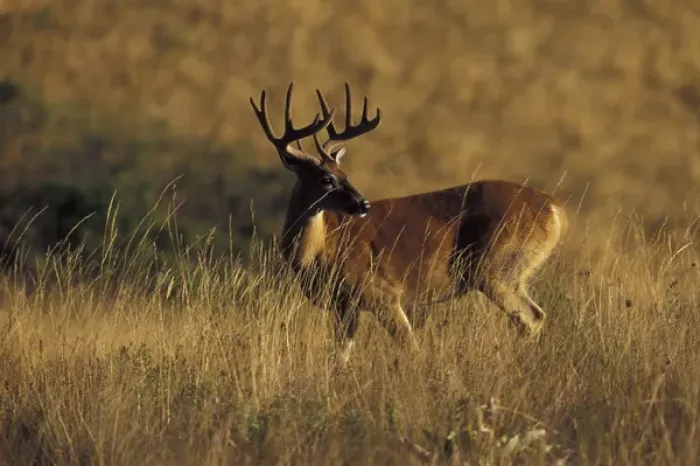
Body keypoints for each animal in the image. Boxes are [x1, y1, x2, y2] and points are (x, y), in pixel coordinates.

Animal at [249, 82, 568, 365]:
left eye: (345, 174)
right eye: (327, 179)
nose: (363, 204)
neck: (319, 251)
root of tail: (555, 207)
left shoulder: (382, 294)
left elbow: (410, 347)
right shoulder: (345, 307)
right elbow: (340, 358)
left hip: (496, 268)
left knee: (532, 317)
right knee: (535, 315)